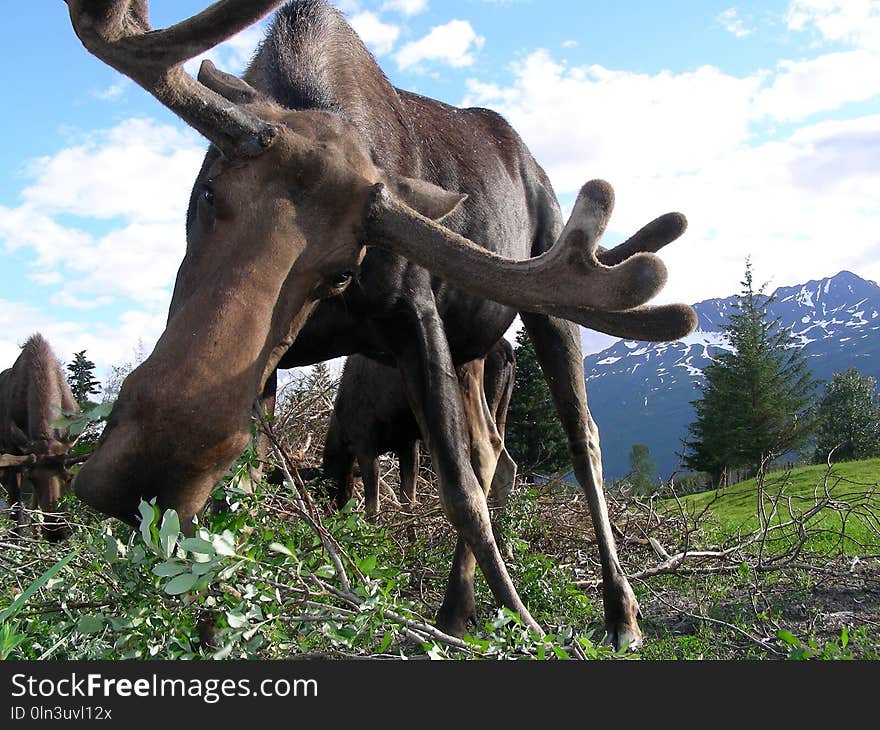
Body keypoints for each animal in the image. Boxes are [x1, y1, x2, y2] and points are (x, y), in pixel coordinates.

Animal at [322, 338, 516, 516]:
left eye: (327, 486)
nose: (332, 514)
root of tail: (508, 351)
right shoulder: (407, 444)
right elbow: (408, 501)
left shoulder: (364, 442)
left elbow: (373, 507)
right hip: (500, 412)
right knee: (505, 465)